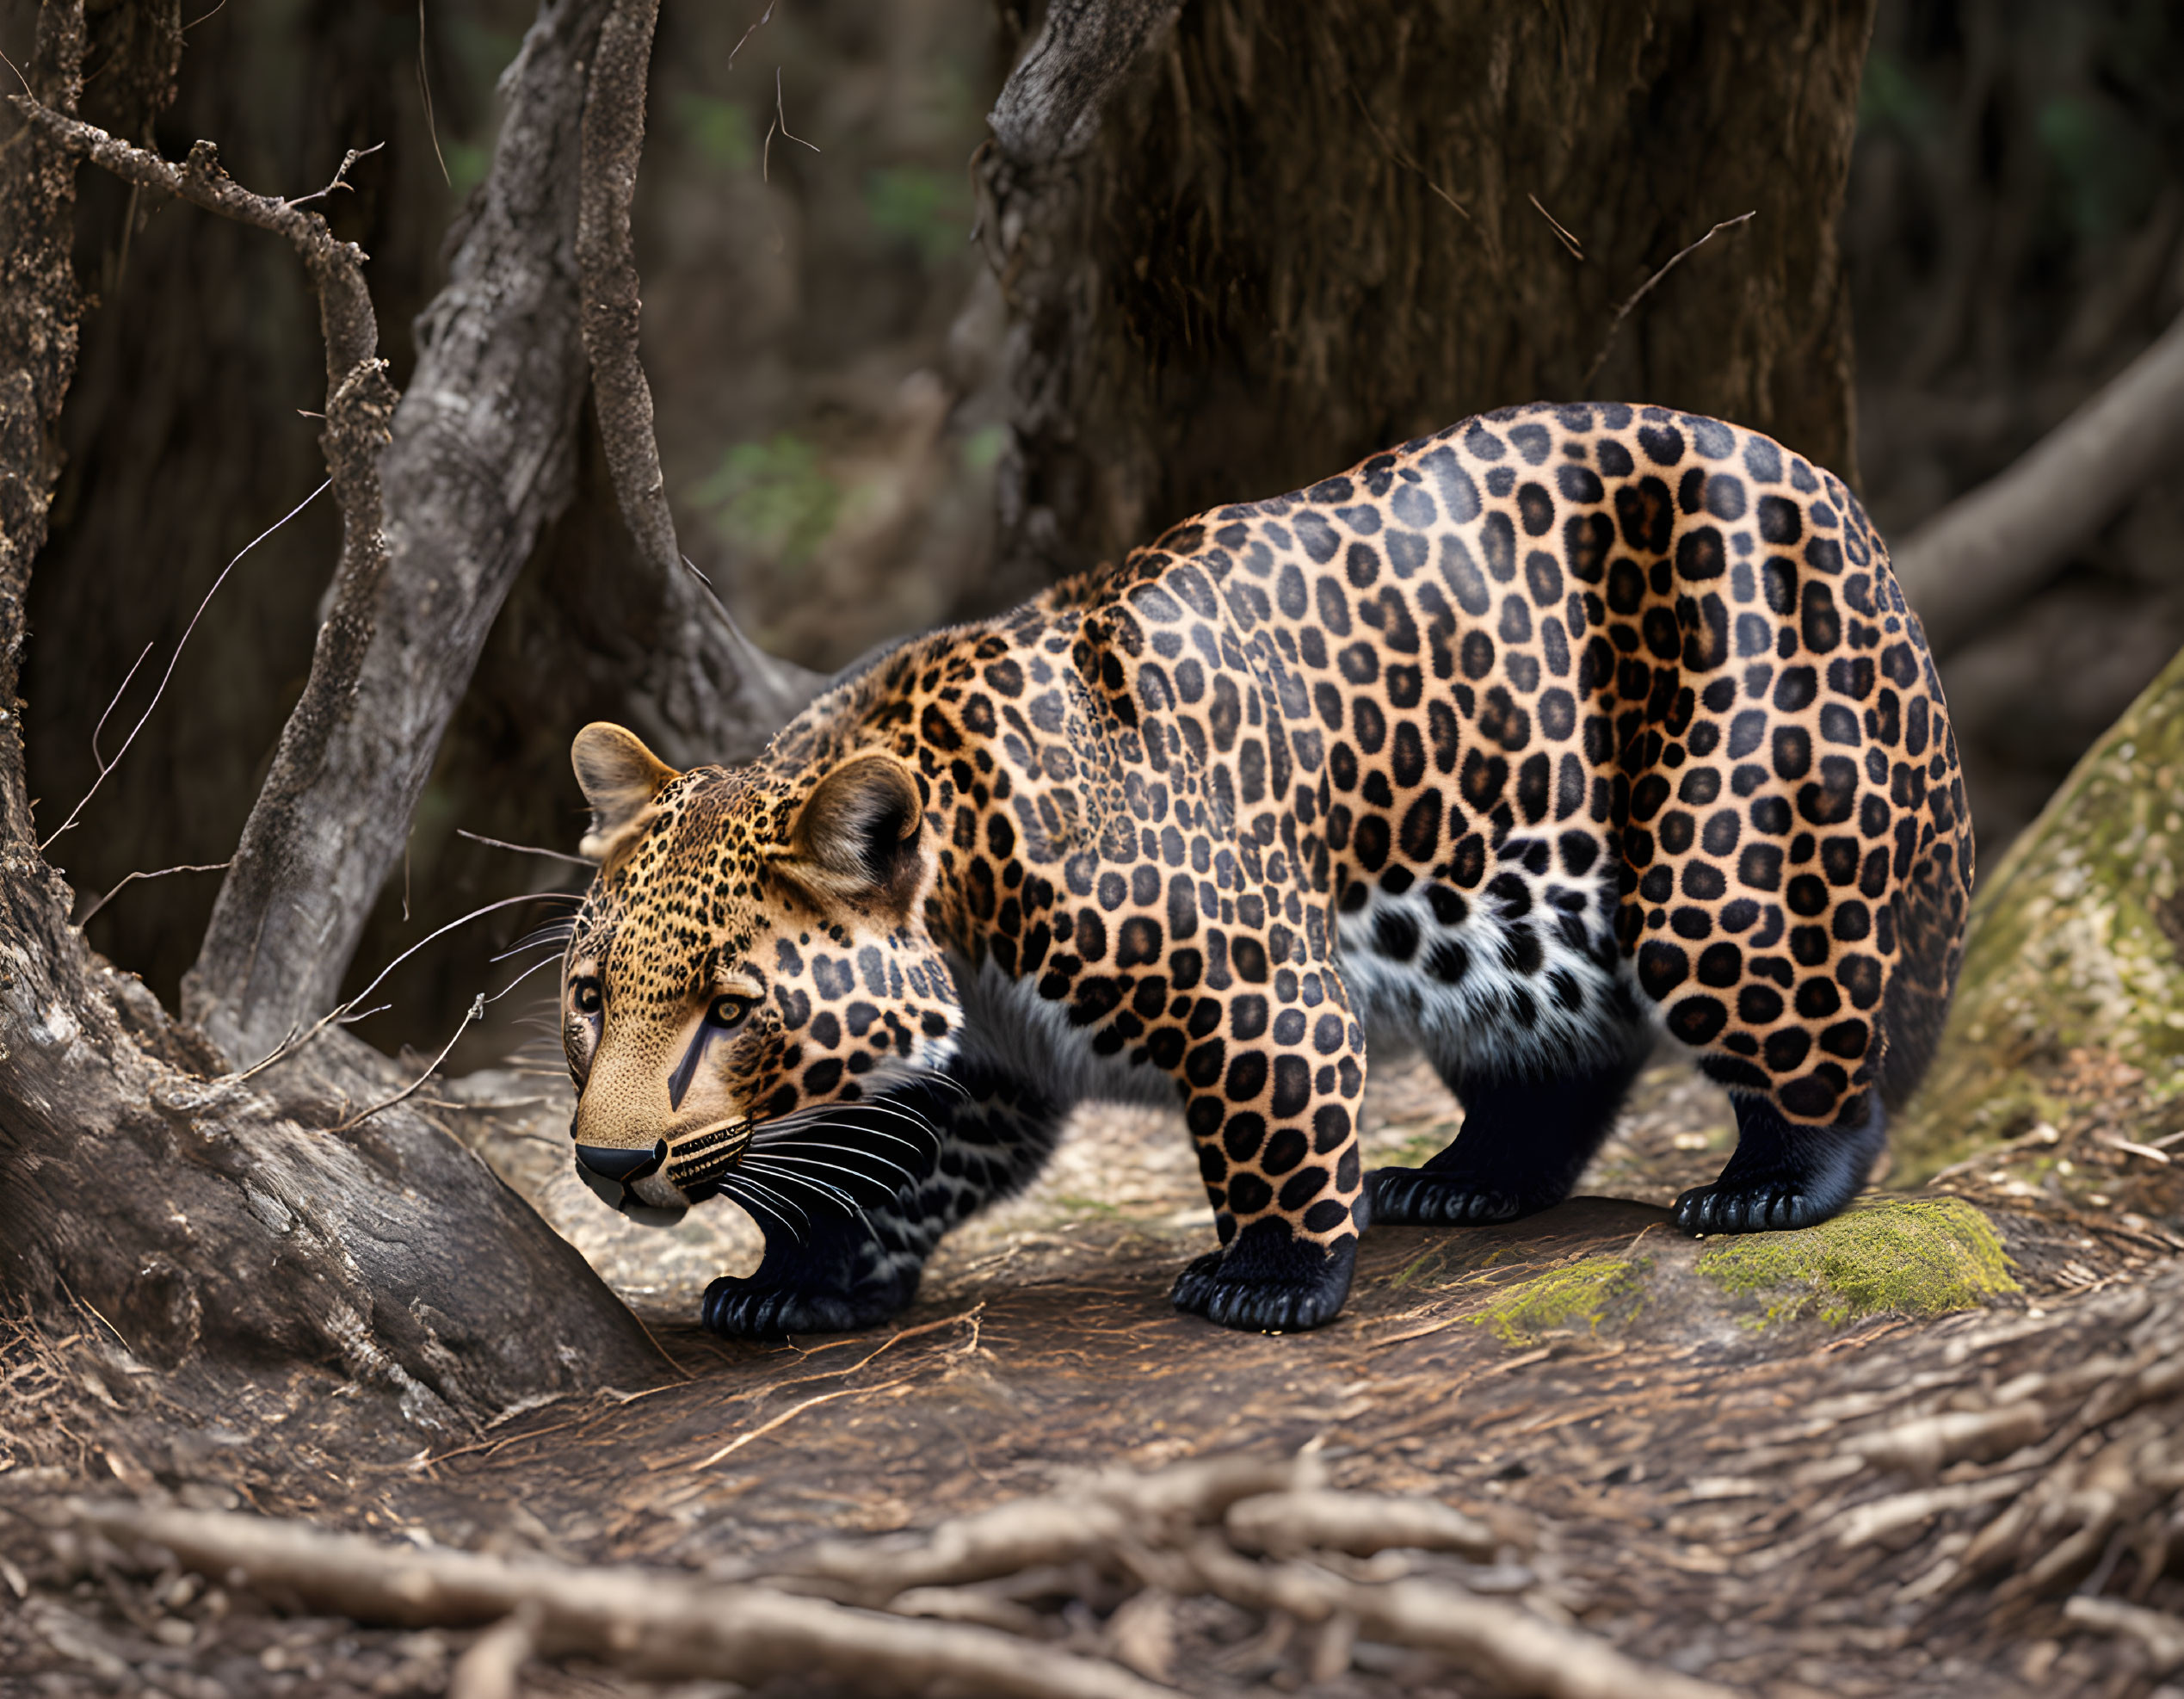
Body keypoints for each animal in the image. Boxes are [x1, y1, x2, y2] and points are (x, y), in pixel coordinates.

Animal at [554, 399, 1974, 1336]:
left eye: (730, 1009)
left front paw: (1270, 1277)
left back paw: (1770, 1186)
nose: (609, 1166)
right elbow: (887, 1159)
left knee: (1815, 1043)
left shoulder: (1243, 982)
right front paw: (802, 1275)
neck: (964, 909)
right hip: (1503, 921)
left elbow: (1272, 1122)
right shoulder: (985, 1063)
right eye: (590, 999)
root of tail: (1829, 494)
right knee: (1559, 1064)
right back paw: (1461, 1181)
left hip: (1723, 857)